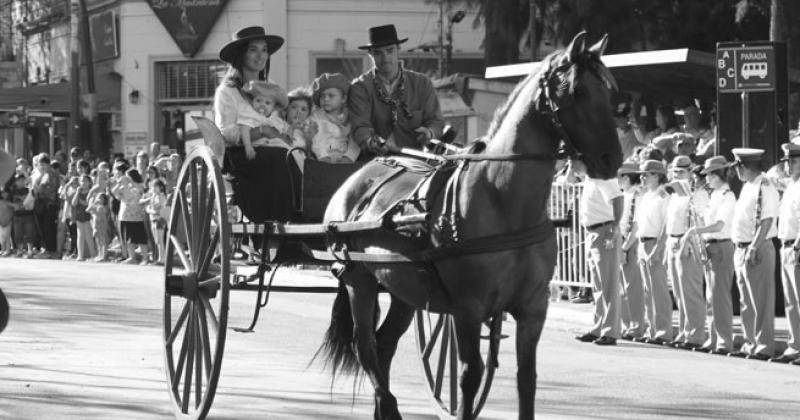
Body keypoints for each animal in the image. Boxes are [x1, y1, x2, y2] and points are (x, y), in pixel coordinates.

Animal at [318, 32, 624, 420]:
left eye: (609, 91)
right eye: (579, 91)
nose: (612, 160)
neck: (503, 198)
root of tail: (358, 178)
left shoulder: (533, 307)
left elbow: (527, 378)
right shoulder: (468, 309)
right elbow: (469, 374)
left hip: (404, 289)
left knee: (384, 345)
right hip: (360, 280)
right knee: (366, 347)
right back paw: (387, 404)